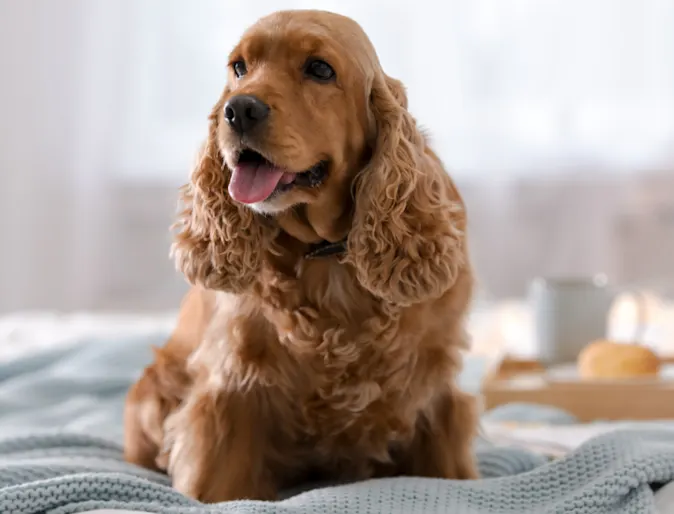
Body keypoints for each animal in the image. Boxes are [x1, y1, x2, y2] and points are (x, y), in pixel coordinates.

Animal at [122, 9, 478, 500]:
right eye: (239, 67)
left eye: (320, 69)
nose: (239, 109)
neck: (324, 257)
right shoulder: (231, 392)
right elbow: (219, 481)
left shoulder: (434, 393)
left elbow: (447, 468)